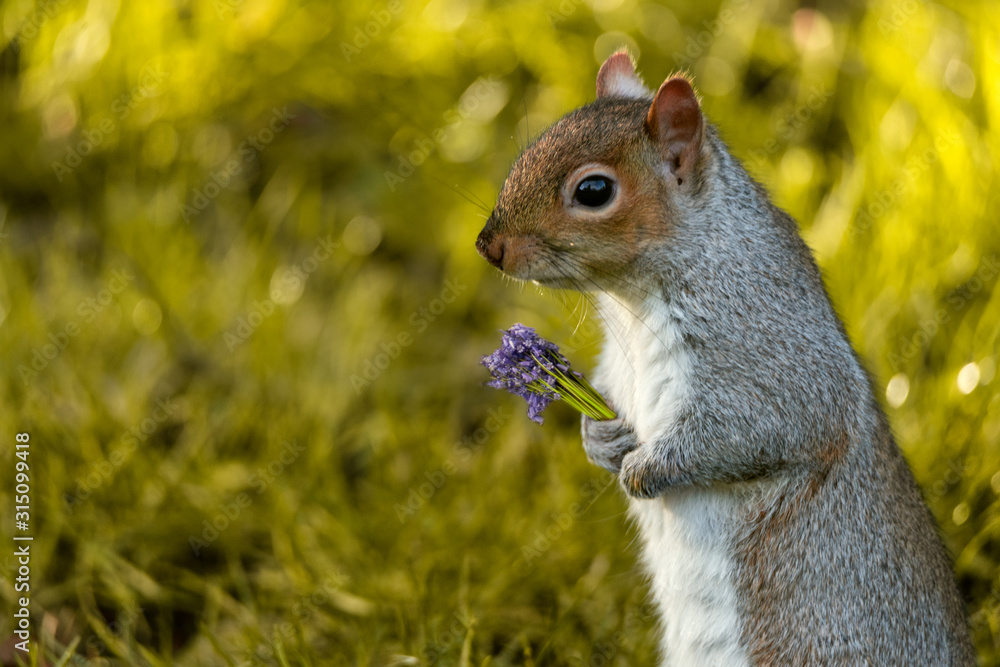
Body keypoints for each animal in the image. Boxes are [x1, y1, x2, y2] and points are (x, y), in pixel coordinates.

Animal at [475, 51, 975, 666]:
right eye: (534, 145)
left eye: (593, 190)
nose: (488, 246)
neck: (632, 305)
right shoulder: (617, 366)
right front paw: (602, 441)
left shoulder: (770, 351)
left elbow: (759, 429)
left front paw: (645, 470)